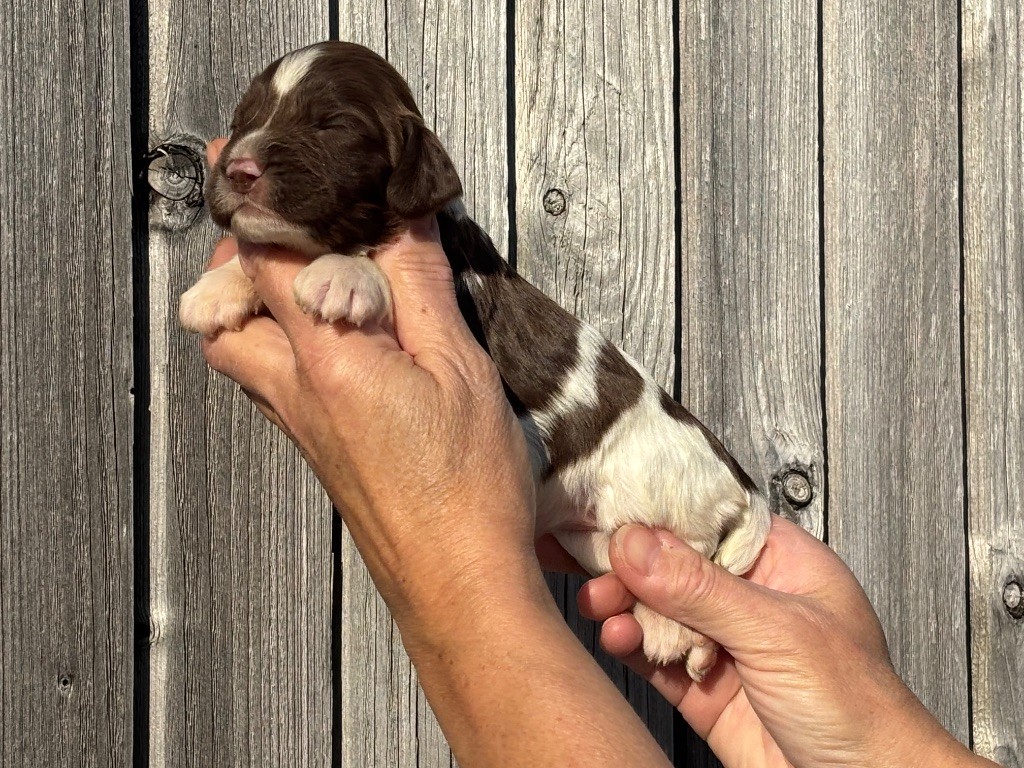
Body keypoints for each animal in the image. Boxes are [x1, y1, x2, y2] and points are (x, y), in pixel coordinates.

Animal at [180, 41, 770, 684]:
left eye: (333, 125)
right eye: (243, 119)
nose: (237, 169)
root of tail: (741, 480)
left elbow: (373, 268)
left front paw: (341, 274)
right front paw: (217, 287)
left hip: (665, 507)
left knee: (699, 561)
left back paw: (675, 633)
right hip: (596, 539)